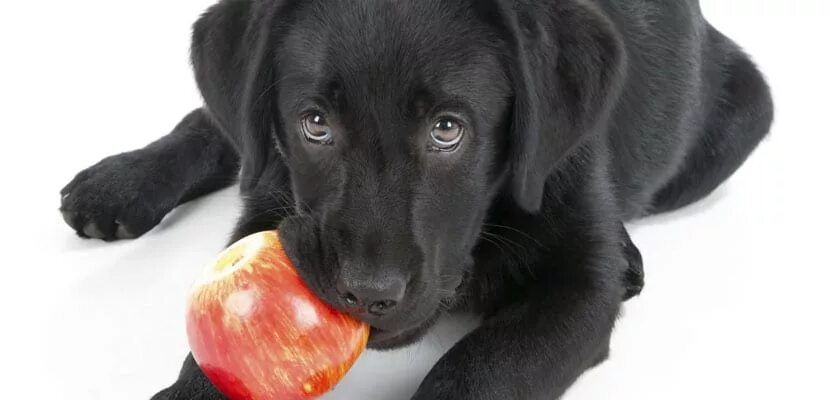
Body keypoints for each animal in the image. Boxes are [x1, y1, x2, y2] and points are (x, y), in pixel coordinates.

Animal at [61, 0, 776, 396]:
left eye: (447, 130)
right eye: (315, 123)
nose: (368, 293)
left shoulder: (577, 292)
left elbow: (481, 371)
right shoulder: (275, 205)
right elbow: (213, 360)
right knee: (221, 122)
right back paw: (118, 182)